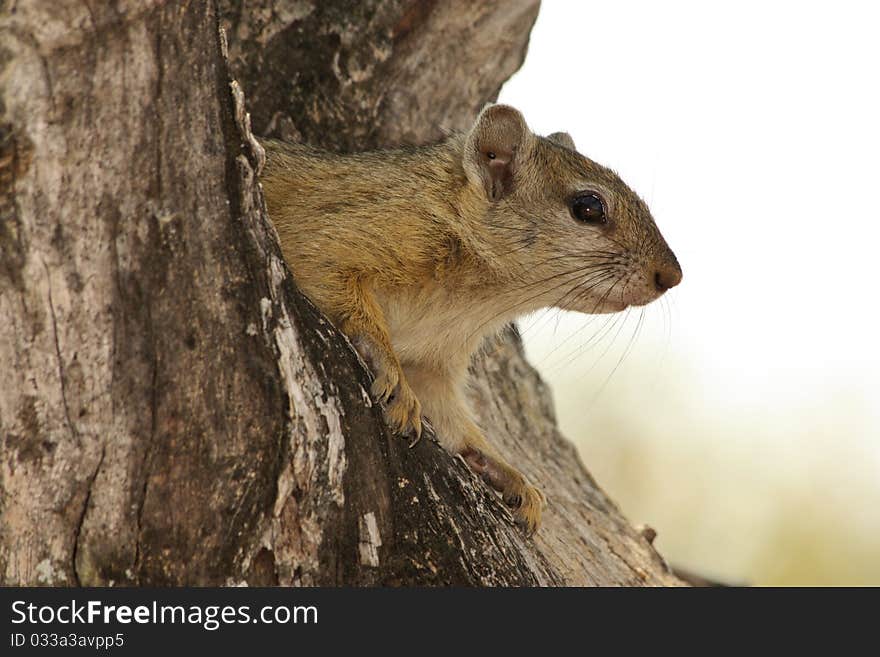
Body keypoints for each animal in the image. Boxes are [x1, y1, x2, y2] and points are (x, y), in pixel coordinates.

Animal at [258, 104, 684, 532]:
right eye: (589, 207)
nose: (671, 276)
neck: (474, 301)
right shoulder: (340, 231)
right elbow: (338, 287)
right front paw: (388, 370)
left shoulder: (434, 362)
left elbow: (448, 415)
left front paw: (503, 471)